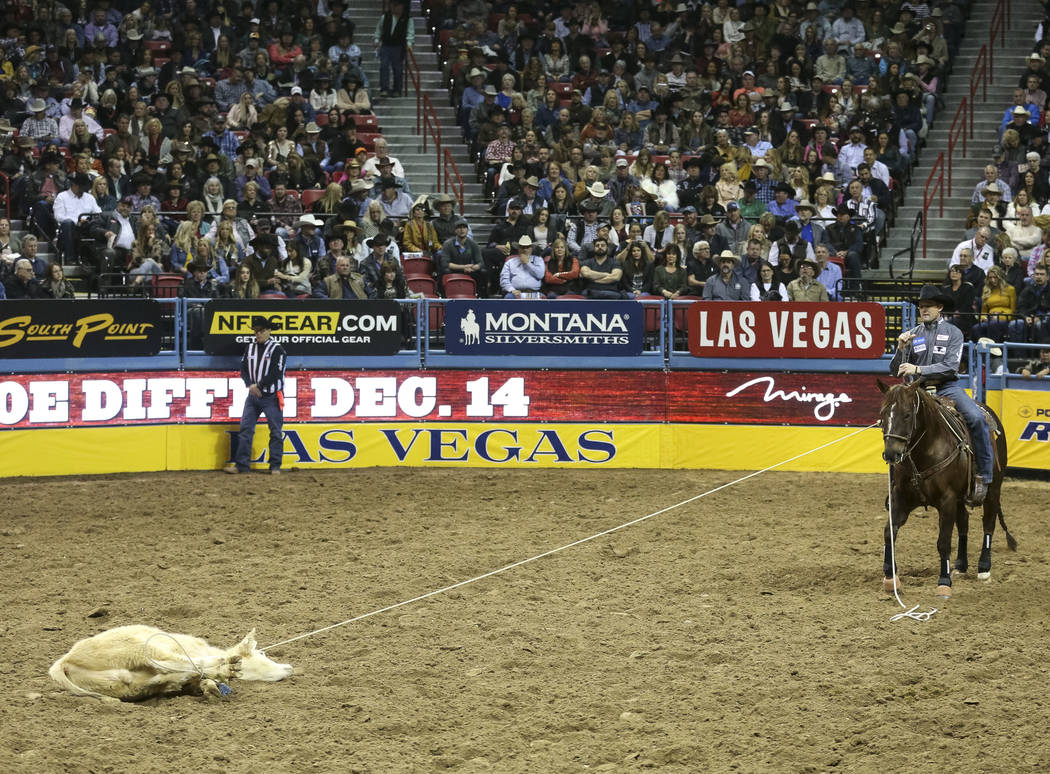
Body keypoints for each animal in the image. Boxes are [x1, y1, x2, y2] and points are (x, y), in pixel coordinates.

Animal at [49, 621, 294, 701]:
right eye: (262, 654)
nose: (290, 667)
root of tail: (66, 660)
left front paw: (209, 686)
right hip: (139, 648)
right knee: (172, 664)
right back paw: (224, 666)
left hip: (121, 684)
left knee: (156, 680)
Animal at [877, 380, 1016, 596]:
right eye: (883, 414)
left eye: (907, 414)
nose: (891, 453)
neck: (925, 451)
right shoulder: (900, 497)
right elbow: (889, 532)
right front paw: (890, 578)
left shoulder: (947, 500)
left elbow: (943, 541)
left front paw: (944, 581)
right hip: (960, 499)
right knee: (964, 522)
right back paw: (960, 565)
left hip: (993, 490)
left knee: (989, 523)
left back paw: (984, 567)